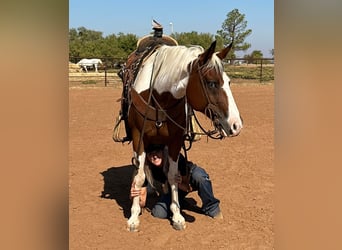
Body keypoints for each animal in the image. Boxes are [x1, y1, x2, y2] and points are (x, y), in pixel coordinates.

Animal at [126, 40, 243, 230]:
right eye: (211, 83)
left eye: (229, 81)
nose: (236, 125)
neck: (159, 100)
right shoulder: (139, 138)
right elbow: (139, 176)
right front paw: (134, 217)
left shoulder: (175, 141)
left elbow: (173, 175)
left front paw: (177, 216)